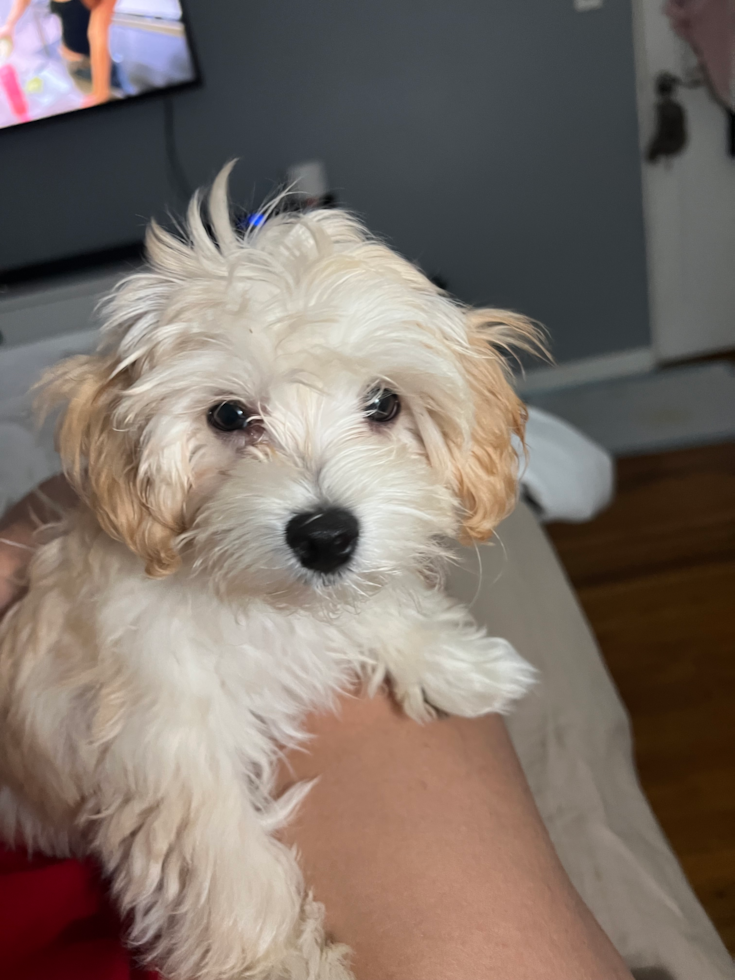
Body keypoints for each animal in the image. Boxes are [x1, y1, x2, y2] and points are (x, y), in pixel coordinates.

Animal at [0, 165, 540, 976]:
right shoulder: (167, 751)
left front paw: (453, 661)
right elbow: (227, 873)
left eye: (383, 404)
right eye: (228, 416)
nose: (326, 536)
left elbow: (378, 601)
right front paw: (282, 962)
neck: (246, 598)